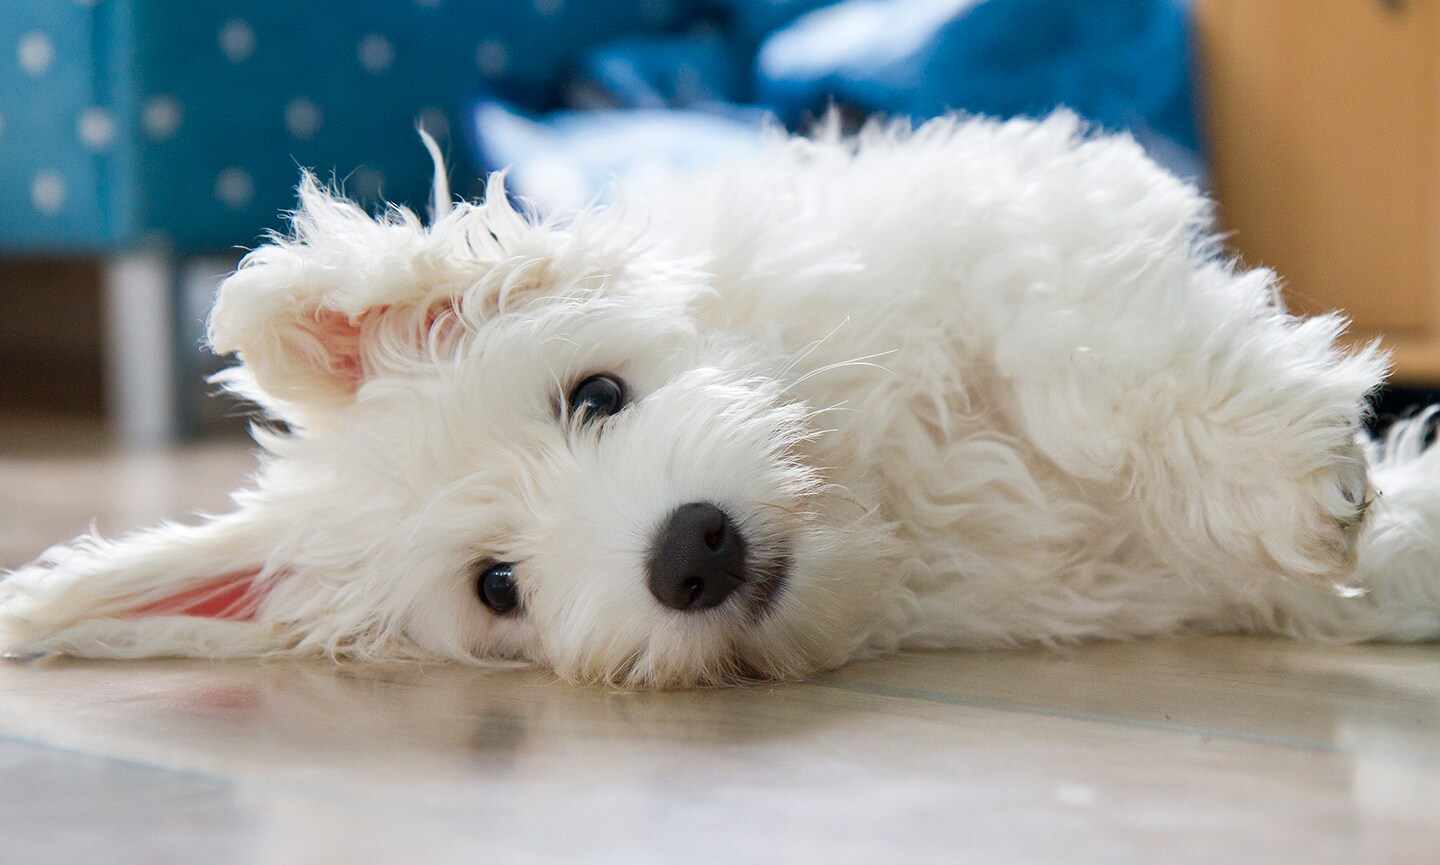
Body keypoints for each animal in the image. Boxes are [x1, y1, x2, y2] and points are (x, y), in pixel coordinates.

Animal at [2, 112, 1440, 687]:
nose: (692, 552)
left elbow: (1081, 351)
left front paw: (1297, 478)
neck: (881, 499)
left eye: (597, 392)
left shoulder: (1012, 219)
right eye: (498, 587)